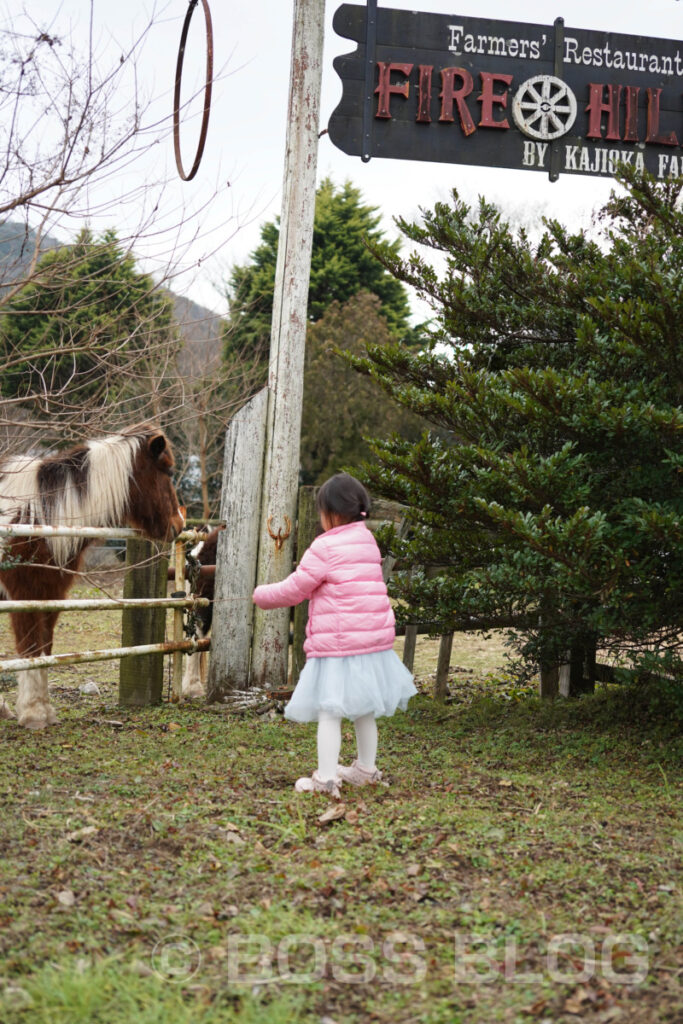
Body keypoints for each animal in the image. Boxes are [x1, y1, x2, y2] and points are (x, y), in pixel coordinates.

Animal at [0, 423, 187, 729]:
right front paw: (33, 712)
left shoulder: (51, 594)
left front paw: (43, 709)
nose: (178, 525)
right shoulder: (24, 595)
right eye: (168, 471)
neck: (35, 517)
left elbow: (45, 648)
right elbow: (30, 649)